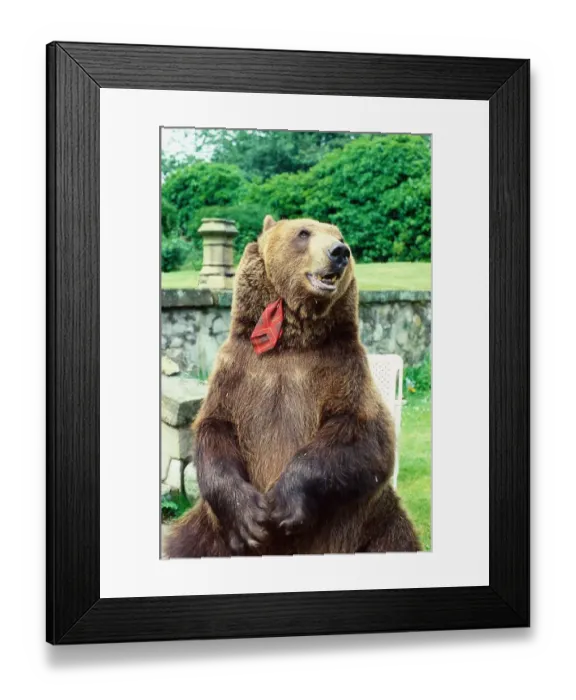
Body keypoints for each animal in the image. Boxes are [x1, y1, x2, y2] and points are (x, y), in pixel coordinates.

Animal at [165, 216, 421, 557]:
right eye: (303, 233)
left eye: (340, 236)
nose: (340, 252)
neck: (290, 341)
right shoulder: (236, 372)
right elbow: (215, 429)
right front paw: (249, 519)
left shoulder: (344, 371)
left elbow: (364, 436)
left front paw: (284, 503)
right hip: (209, 533)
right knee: (183, 543)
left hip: (375, 524)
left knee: (396, 538)